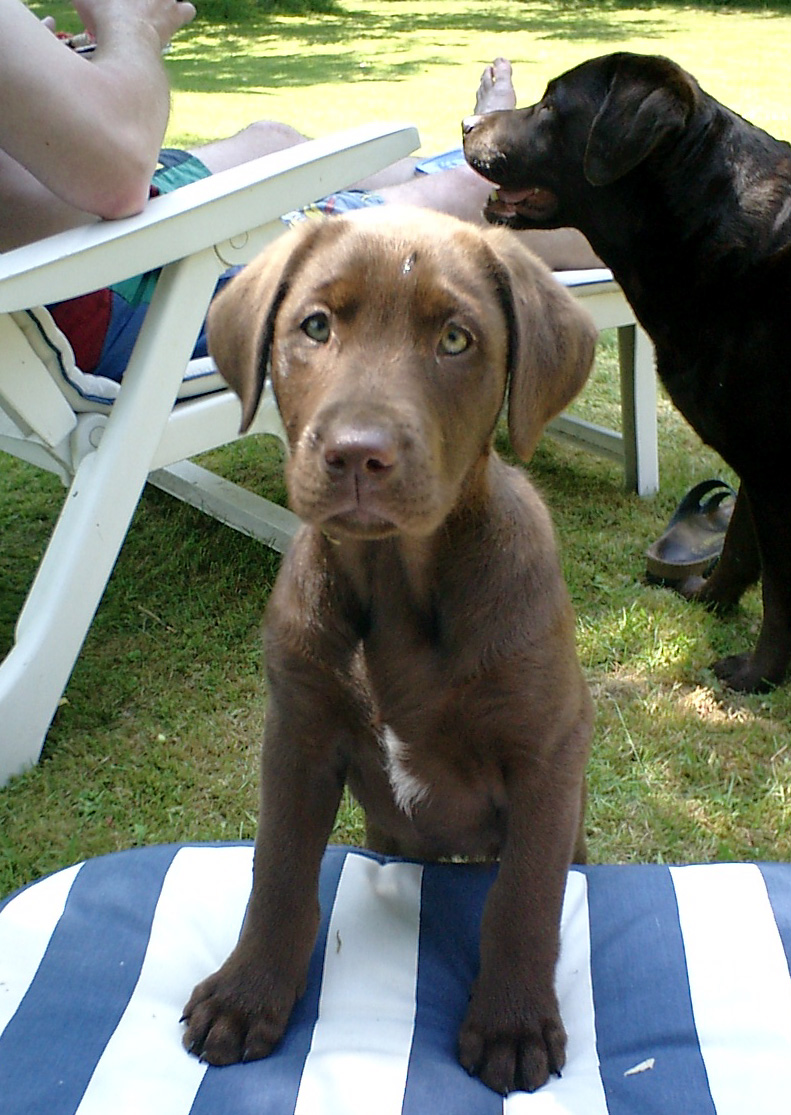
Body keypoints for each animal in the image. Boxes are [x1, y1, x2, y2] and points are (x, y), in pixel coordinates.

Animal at [181, 207, 596, 1095]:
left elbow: (525, 895)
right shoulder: (298, 732)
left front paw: (511, 1022)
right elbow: (278, 870)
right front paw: (246, 993)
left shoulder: (546, 749)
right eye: (314, 326)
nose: (355, 453)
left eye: (455, 339)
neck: (400, 584)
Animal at [463, 51, 791, 693]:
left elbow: (781, 592)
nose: (466, 124)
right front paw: (709, 599)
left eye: (549, 105)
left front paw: (758, 674)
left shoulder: (776, 465)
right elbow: (740, 546)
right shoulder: (752, 458)